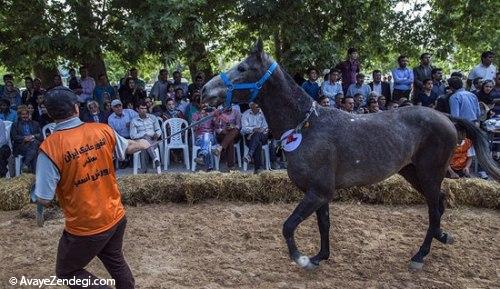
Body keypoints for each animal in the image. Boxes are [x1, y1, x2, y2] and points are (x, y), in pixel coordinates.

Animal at [200, 40, 500, 270]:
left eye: (243, 68)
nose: (204, 90)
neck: (307, 126)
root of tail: (446, 117)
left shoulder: (318, 191)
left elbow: (288, 226)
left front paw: (302, 259)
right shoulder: (319, 193)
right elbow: (323, 224)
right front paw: (320, 256)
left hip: (429, 173)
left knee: (435, 208)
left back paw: (420, 255)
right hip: (414, 173)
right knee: (439, 204)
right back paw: (441, 237)